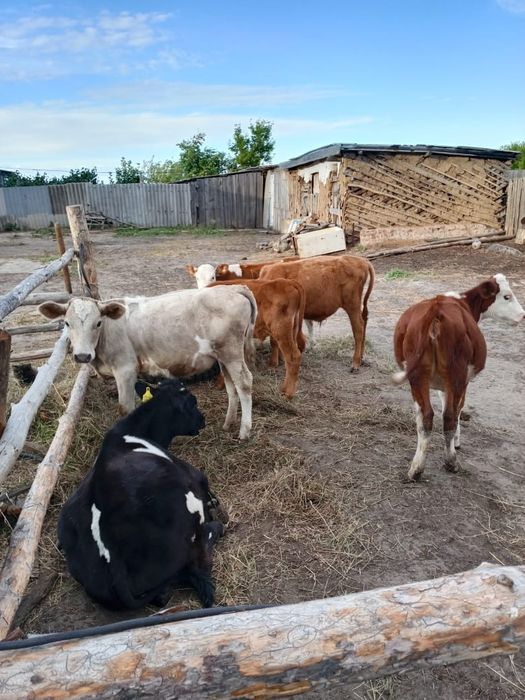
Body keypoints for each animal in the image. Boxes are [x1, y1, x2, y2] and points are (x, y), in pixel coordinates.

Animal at [39, 286, 257, 440]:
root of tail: (233, 288)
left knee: (244, 383)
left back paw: (244, 431)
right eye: (67, 323)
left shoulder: (125, 369)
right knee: (231, 385)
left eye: (98, 323)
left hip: (231, 353)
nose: (83, 356)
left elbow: (125, 408)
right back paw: (228, 423)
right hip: (222, 357)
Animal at [58, 378, 225, 610]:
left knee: (164, 593)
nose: (203, 419)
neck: (133, 432)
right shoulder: (194, 474)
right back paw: (217, 527)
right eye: (192, 402)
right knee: (200, 557)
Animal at [393, 273, 524, 481]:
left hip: (417, 376)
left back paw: (416, 469)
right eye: (506, 296)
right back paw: (451, 463)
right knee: (449, 417)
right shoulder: (464, 381)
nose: (522, 314)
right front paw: (456, 441)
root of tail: (435, 310)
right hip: (456, 374)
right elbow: (458, 408)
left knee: (425, 417)